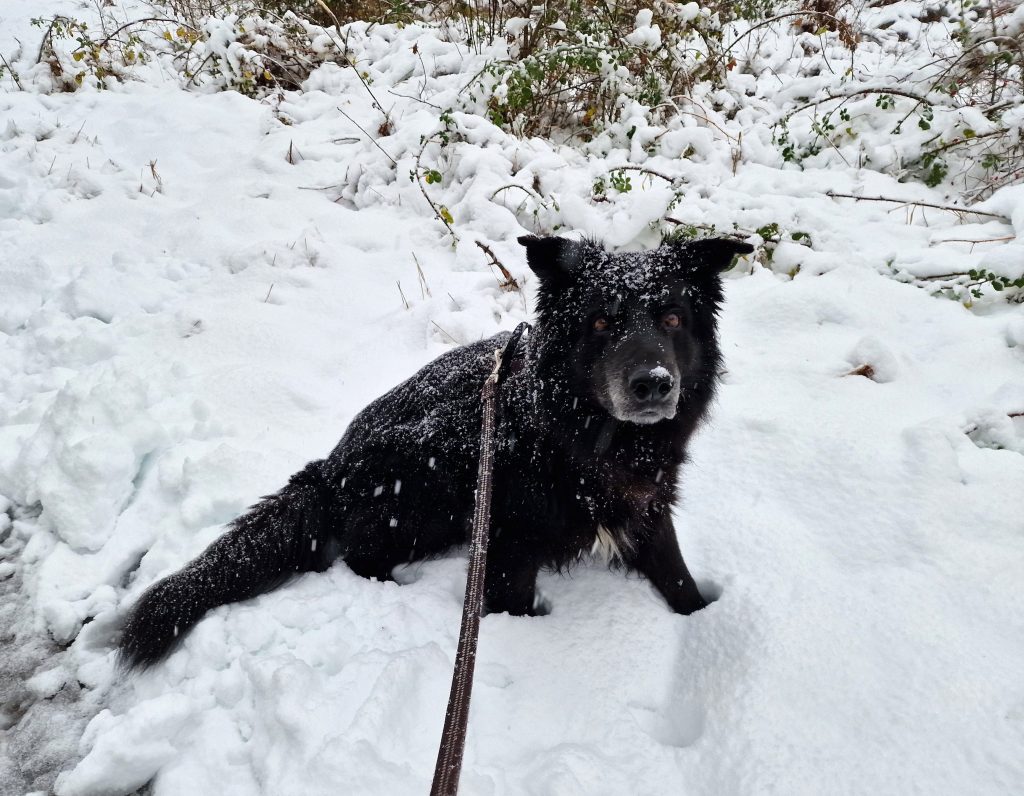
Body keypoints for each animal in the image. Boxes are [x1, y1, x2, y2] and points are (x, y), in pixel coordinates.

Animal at [119, 234, 757, 663]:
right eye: (601, 323)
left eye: (671, 317)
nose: (653, 384)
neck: (589, 436)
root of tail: (330, 468)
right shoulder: (509, 545)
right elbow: (512, 605)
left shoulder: (646, 506)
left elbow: (678, 578)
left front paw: (705, 625)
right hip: (429, 477)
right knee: (362, 554)